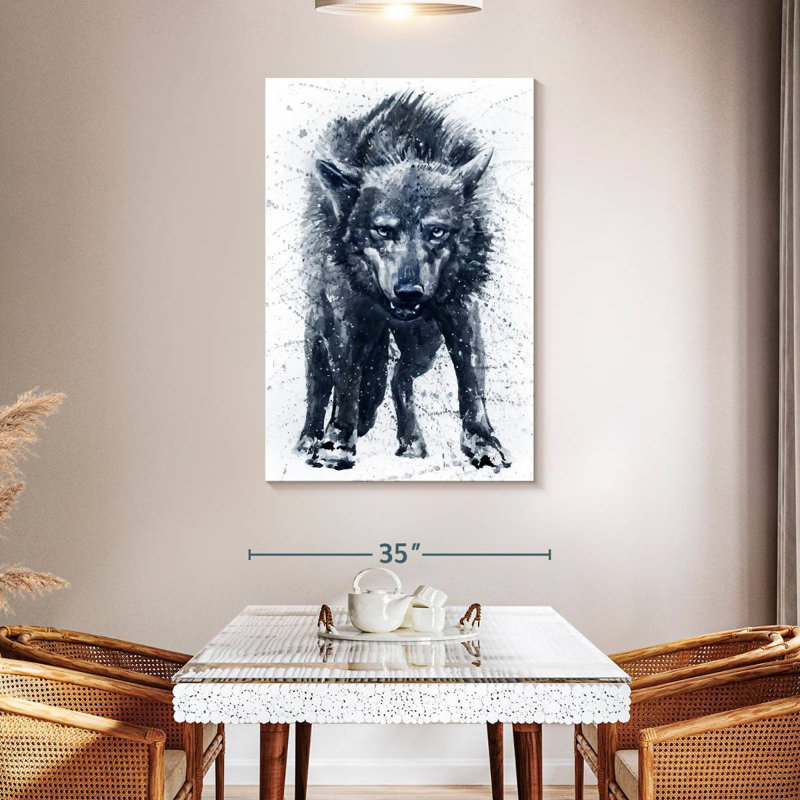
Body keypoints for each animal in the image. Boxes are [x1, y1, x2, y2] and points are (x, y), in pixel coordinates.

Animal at [295, 91, 510, 472]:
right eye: (383, 230)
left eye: (437, 231)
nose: (409, 293)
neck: (404, 148)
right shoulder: (347, 314)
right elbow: (346, 380)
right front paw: (336, 445)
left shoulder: (461, 309)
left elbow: (471, 382)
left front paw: (483, 443)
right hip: (318, 328)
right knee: (319, 386)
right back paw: (308, 440)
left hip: (424, 344)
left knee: (400, 375)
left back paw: (411, 442)